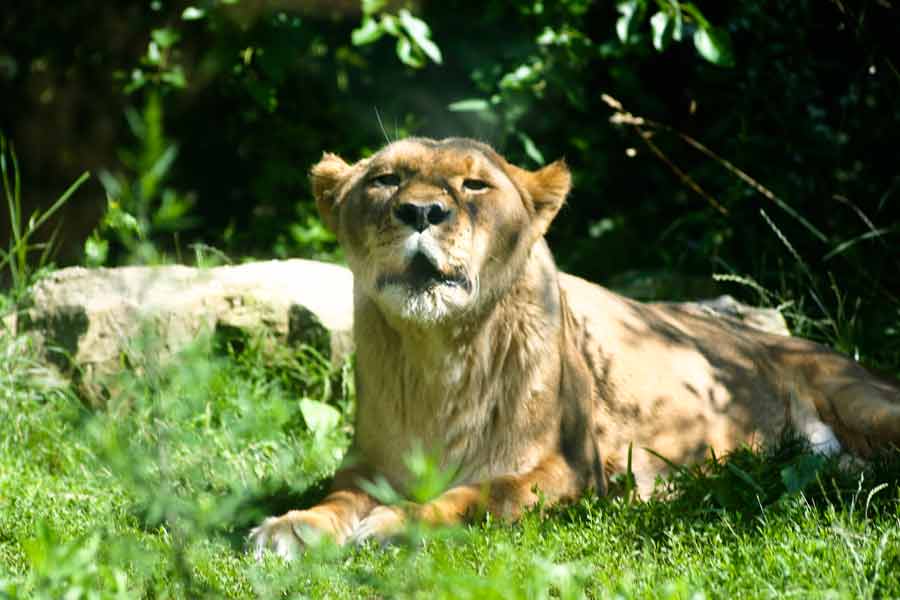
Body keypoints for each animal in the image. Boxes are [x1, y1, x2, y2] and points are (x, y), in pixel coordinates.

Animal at [250, 137, 900, 559]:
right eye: (385, 180)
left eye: (473, 184)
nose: (421, 211)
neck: (440, 357)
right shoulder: (367, 463)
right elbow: (337, 497)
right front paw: (290, 528)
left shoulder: (572, 468)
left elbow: (481, 494)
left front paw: (395, 525)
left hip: (864, 400)